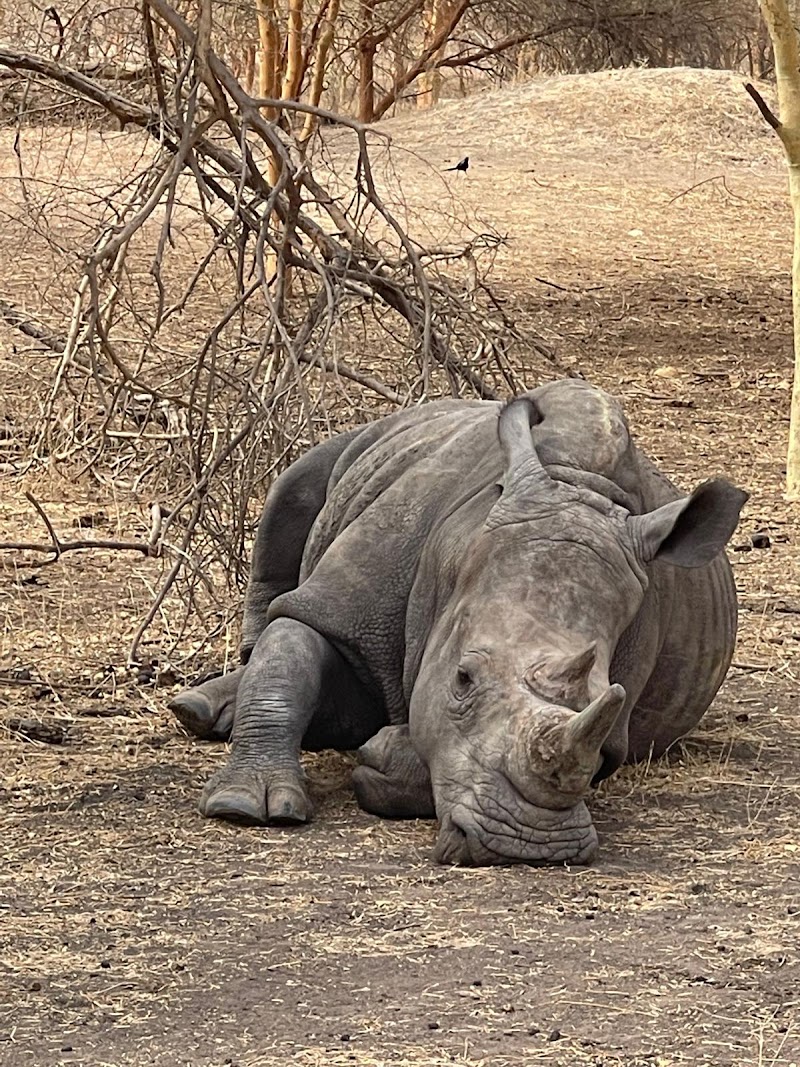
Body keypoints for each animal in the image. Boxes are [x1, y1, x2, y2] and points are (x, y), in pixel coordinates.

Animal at [170, 379, 747, 867]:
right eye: (463, 679)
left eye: (604, 699)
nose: (531, 847)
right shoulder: (345, 597)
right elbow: (287, 655)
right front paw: (244, 805)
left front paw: (380, 754)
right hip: (363, 440)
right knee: (293, 491)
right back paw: (201, 711)